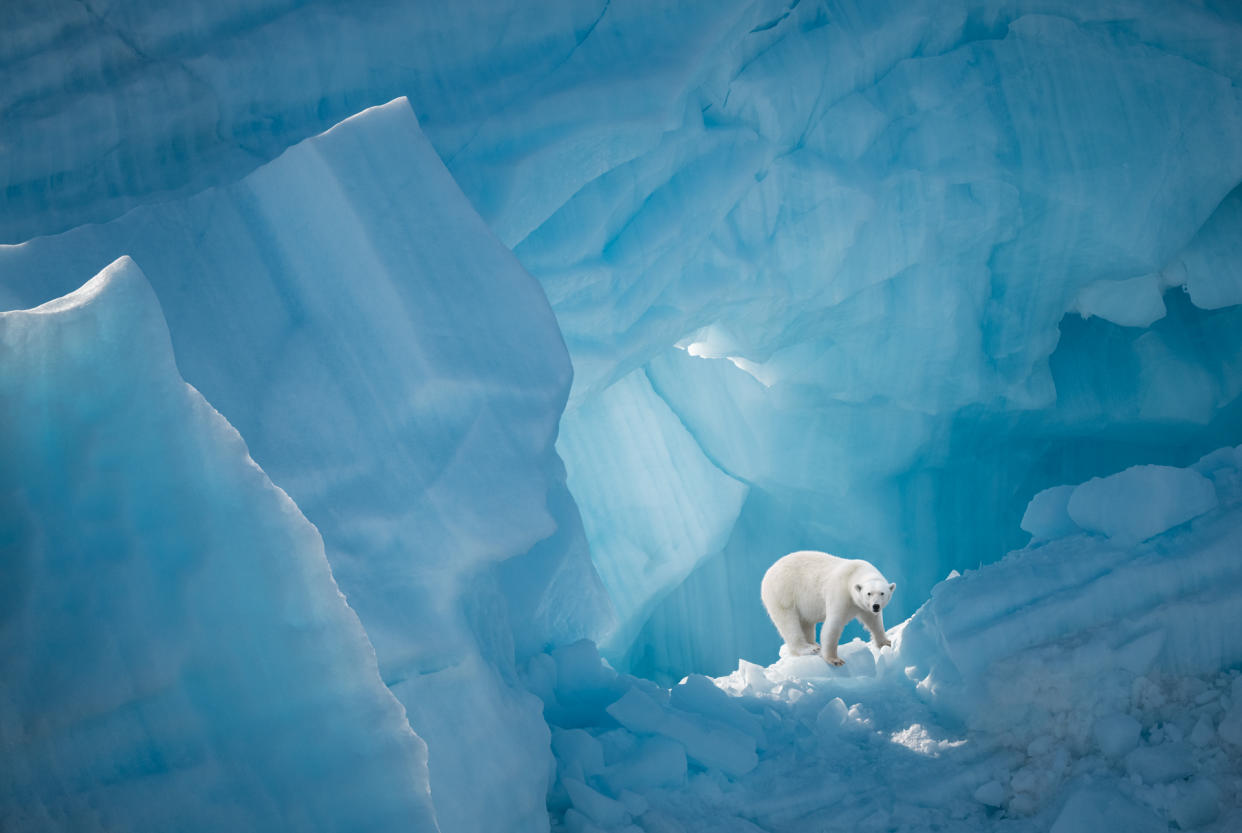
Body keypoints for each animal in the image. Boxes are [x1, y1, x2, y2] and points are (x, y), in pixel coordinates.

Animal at [755, 553, 894, 665]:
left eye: (882, 593)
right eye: (868, 593)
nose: (876, 606)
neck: (855, 572)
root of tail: (768, 572)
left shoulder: (862, 606)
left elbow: (874, 622)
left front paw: (886, 642)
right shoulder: (841, 594)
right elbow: (833, 625)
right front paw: (835, 659)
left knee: (806, 623)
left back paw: (813, 643)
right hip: (783, 593)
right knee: (789, 623)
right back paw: (808, 648)